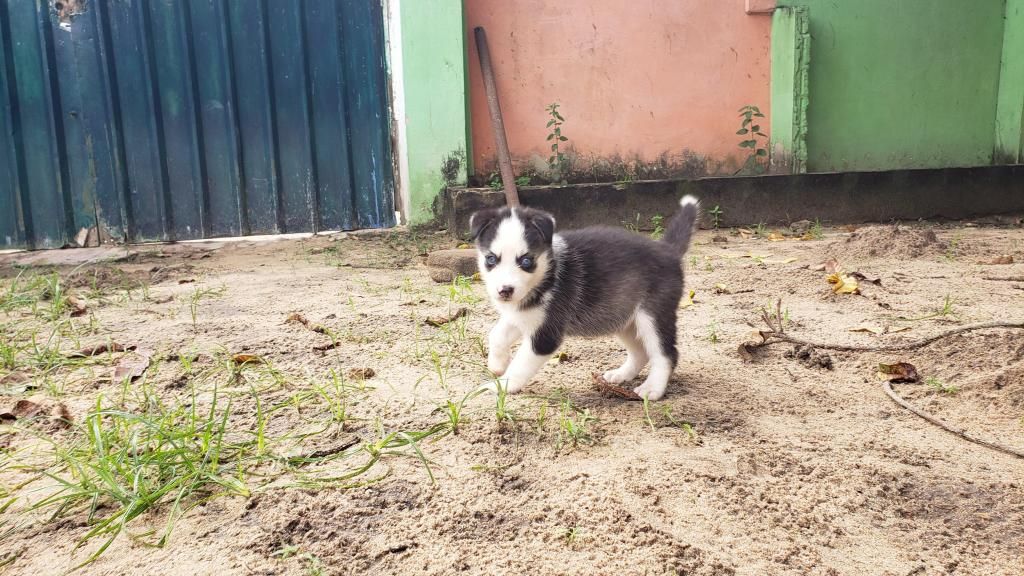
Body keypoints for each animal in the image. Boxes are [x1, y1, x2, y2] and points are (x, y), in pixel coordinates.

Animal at [468, 194, 696, 397]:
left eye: (526, 261)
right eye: (491, 259)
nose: (505, 290)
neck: (547, 275)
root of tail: (667, 249)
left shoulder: (545, 335)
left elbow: (520, 365)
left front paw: (501, 386)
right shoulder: (522, 315)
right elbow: (496, 334)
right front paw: (497, 364)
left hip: (652, 316)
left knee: (666, 354)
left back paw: (652, 388)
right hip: (623, 317)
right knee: (640, 352)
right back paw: (621, 375)